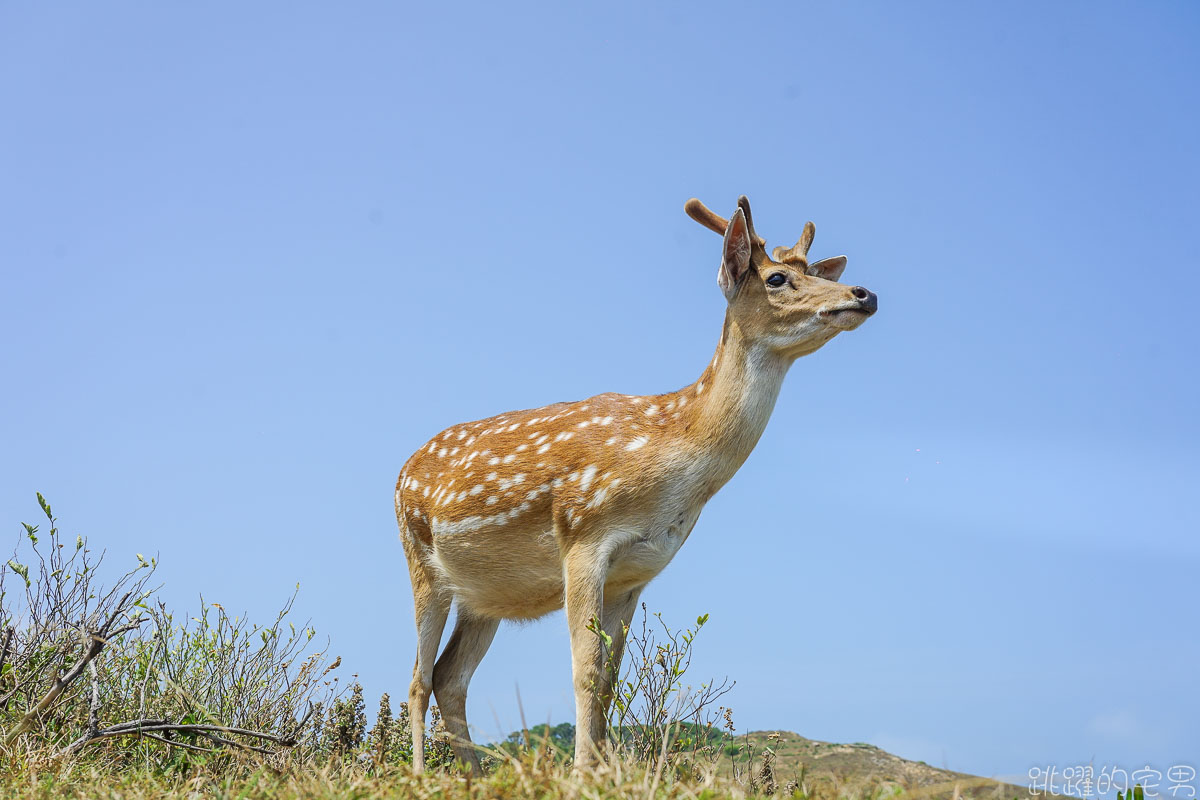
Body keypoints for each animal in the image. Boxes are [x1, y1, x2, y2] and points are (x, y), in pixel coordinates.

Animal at [398, 190, 878, 772]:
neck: (674, 461)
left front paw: (602, 769)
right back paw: (419, 774)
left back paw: (469, 779)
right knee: (418, 679)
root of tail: (401, 472)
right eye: (778, 278)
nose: (864, 293)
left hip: (485, 595)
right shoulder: (583, 537)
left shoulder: (636, 573)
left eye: (813, 270)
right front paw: (582, 774)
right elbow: (585, 671)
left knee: (450, 676)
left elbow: (609, 682)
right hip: (420, 560)